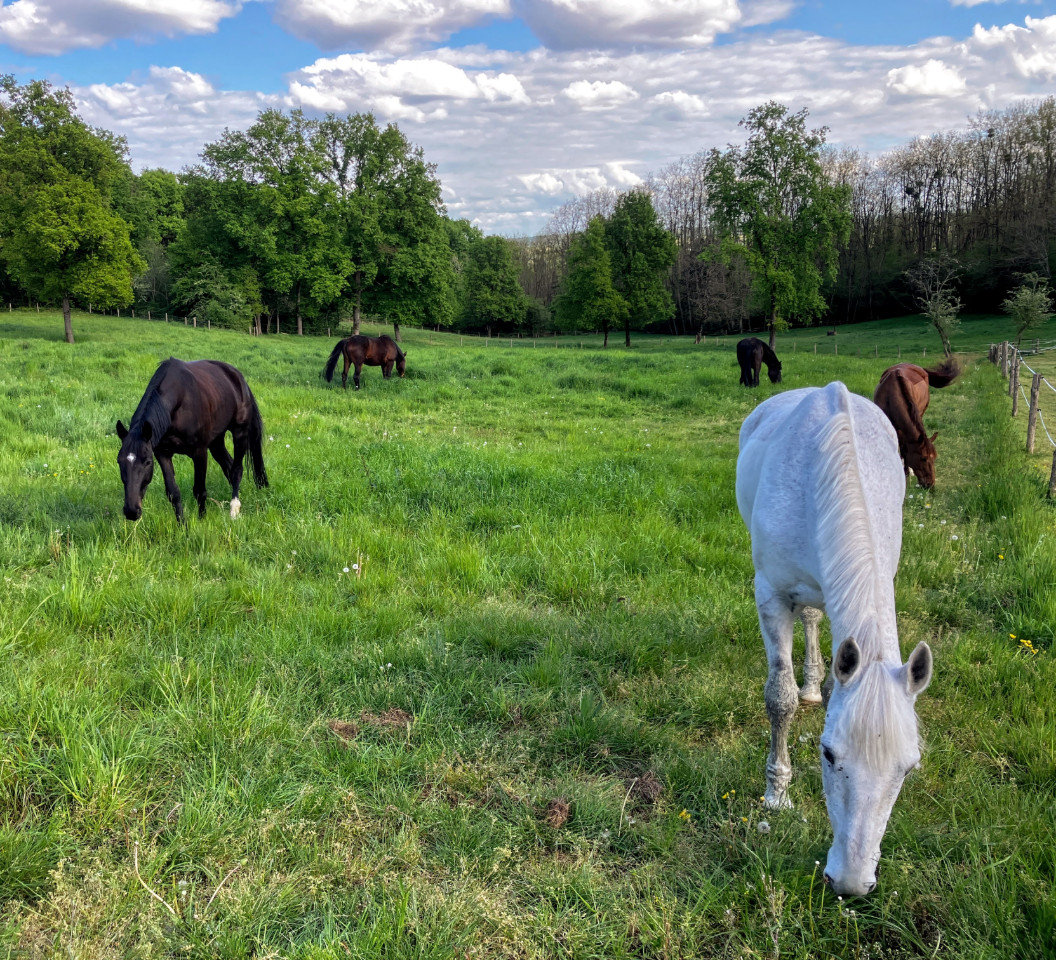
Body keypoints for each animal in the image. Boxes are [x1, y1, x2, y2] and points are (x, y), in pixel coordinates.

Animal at [116, 358, 268, 522]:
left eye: (147, 462)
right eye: (119, 461)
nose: (131, 511)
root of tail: (239, 377)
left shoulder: (199, 452)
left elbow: (200, 490)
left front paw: (202, 519)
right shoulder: (163, 453)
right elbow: (173, 492)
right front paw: (182, 524)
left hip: (240, 432)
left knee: (236, 470)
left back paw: (234, 510)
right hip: (216, 441)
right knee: (228, 465)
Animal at [736, 382, 933, 896]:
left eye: (909, 768)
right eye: (828, 754)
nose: (850, 882)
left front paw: (818, 690)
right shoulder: (771, 594)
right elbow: (778, 697)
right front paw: (777, 794)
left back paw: (814, 685)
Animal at [873, 359, 959, 489]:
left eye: (935, 458)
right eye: (923, 458)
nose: (930, 485)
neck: (891, 394)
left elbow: (904, 448)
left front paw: (906, 473)